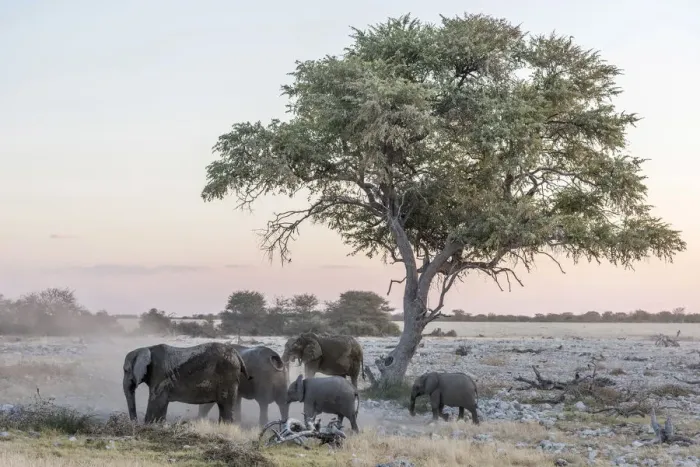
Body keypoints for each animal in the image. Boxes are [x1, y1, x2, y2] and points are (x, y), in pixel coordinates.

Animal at [122, 341, 251, 424]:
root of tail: (237, 355)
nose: (135, 423)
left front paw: (148, 426)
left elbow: (157, 401)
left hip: (228, 376)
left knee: (226, 405)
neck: (147, 348)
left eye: (125, 370)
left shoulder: (159, 373)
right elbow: (161, 403)